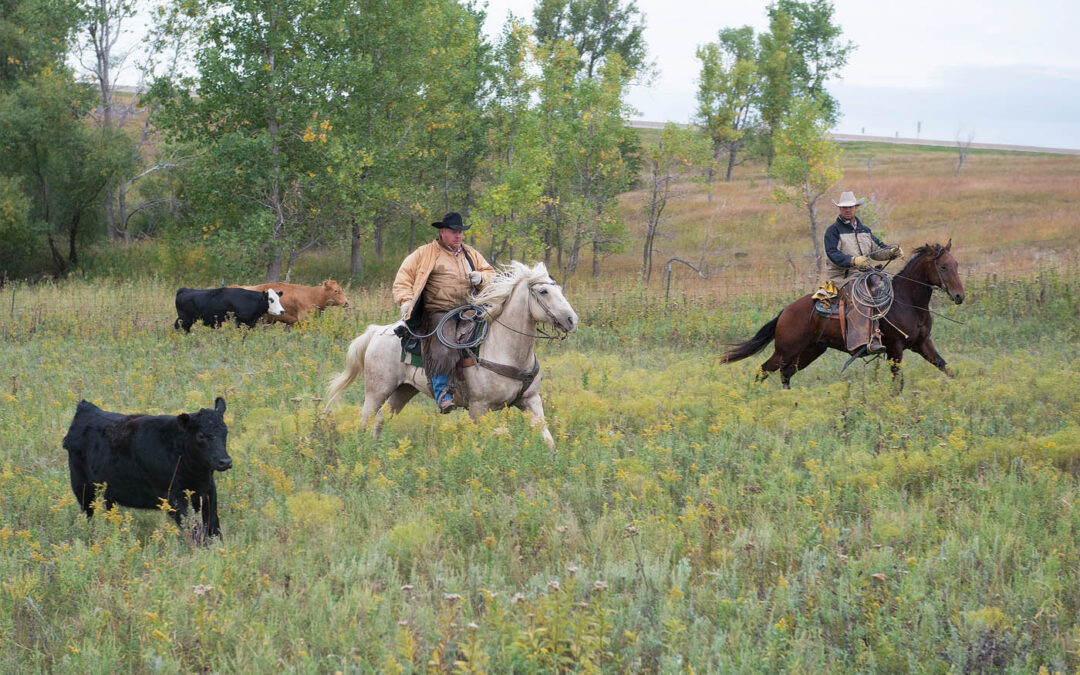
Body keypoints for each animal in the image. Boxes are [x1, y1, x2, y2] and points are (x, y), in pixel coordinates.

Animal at [63, 397, 232, 538]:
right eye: (201, 435)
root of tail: (87, 408)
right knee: (88, 512)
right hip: (81, 486)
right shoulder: (173, 496)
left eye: (226, 431)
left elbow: (213, 523)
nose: (225, 461)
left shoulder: (208, 490)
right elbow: (193, 527)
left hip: (108, 490)